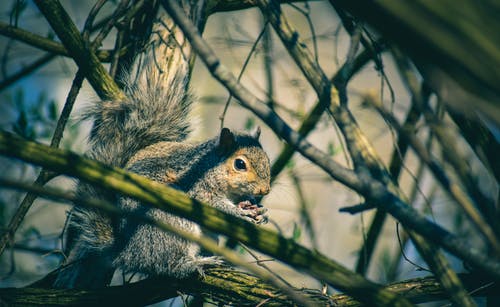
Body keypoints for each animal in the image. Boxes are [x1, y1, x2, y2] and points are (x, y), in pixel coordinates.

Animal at [51, 20, 270, 290]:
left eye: (268, 160)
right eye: (240, 164)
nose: (264, 190)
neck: (212, 166)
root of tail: (125, 252)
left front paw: (260, 211)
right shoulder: (198, 187)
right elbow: (213, 204)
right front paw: (239, 212)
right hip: (171, 224)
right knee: (167, 264)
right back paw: (194, 263)